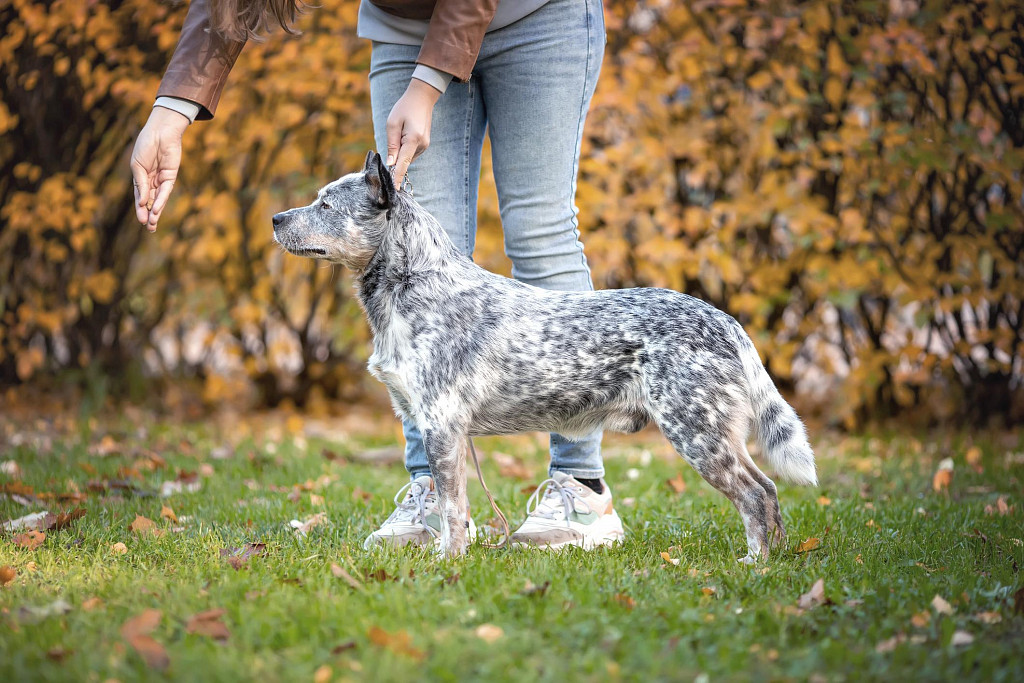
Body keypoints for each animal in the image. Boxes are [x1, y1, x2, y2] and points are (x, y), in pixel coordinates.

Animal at [272, 152, 815, 565]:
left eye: (325, 203)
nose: (276, 218)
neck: (415, 285)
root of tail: (725, 320)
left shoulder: (442, 424)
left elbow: (451, 508)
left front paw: (447, 563)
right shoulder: (429, 422)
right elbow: (449, 504)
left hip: (697, 432)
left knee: (757, 493)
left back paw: (756, 562)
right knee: (768, 490)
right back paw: (779, 557)